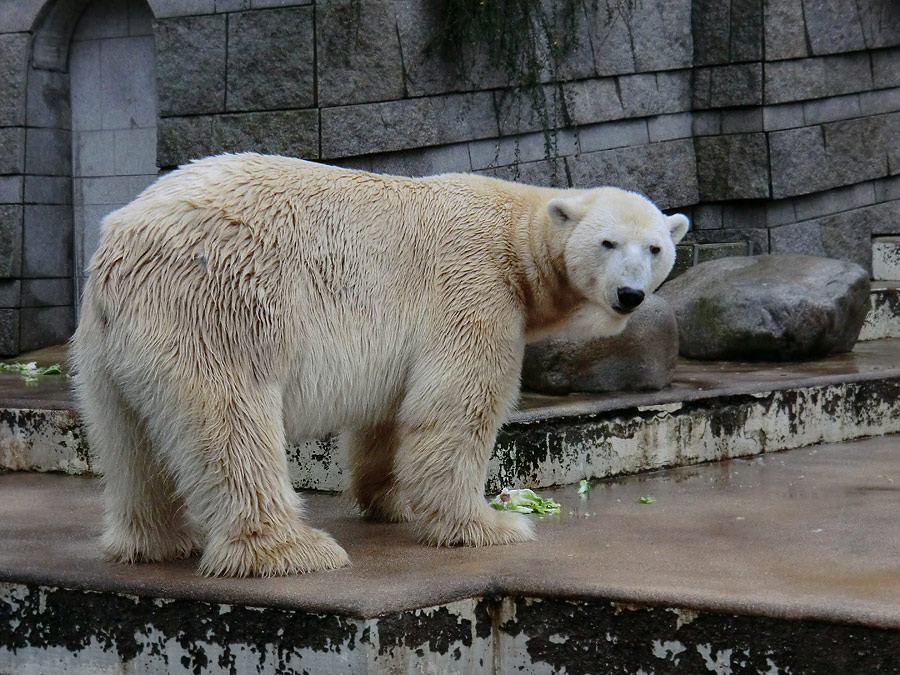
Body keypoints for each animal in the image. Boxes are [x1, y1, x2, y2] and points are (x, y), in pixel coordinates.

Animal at [70, 153, 688, 576]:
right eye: (608, 243)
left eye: (655, 248)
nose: (630, 295)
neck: (513, 234)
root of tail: (121, 248)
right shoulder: (473, 288)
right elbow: (457, 408)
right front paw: (491, 524)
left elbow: (392, 414)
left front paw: (391, 502)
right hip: (217, 306)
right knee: (230, 421)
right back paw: (293, 549)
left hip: (105, 349)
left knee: (128, 439)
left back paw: (154, 541)